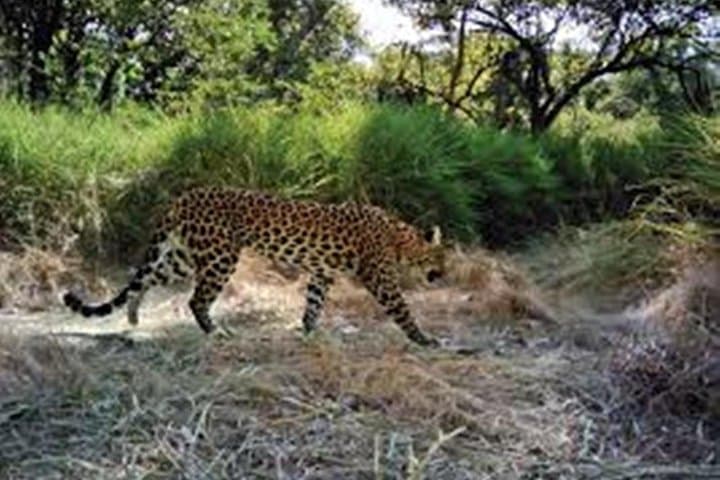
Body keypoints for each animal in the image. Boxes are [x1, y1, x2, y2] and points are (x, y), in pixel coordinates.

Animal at [63, 187, 447, 347]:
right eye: (441, 260)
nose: (443, 275)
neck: (400, 238)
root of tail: (182, 197)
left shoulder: (322, 273)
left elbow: (313, 304)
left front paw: (308, 331)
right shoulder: (380, 279)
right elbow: (403, 309)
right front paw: (424, 339)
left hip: (184, 257)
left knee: (146, 278)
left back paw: (132, 313)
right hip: (220, 257)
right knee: (196, 300)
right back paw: (215, 332)